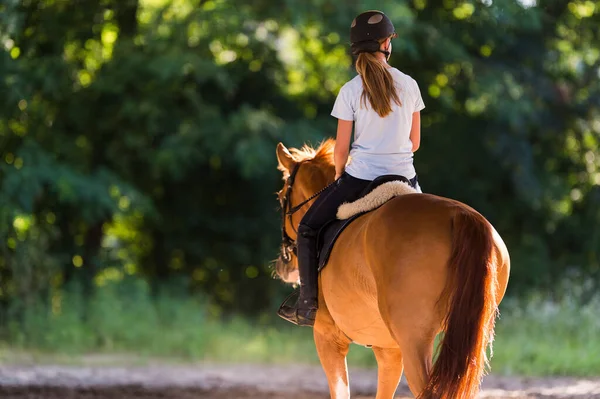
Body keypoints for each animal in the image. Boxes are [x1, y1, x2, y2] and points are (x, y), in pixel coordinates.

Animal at [274, 139, 510, 398]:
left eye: (281, 197)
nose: (284, 265)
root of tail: (460, 214)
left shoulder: (328, 338)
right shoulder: (389, 350)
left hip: (415, 342)